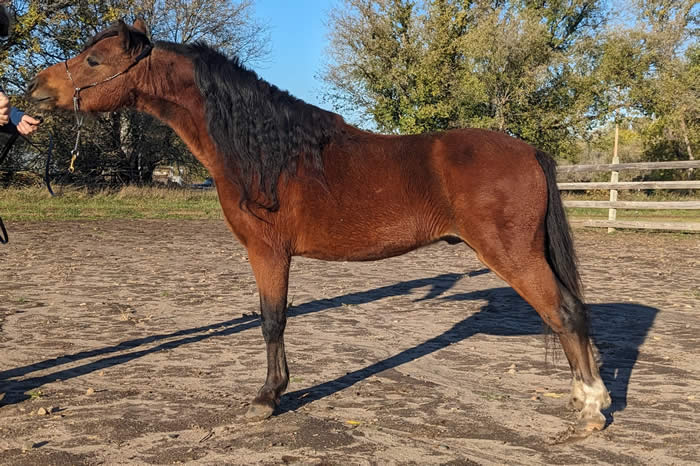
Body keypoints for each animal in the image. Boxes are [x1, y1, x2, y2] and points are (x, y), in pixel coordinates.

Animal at [28, 20, 608, 438]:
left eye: (94, 60)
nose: (34, 88)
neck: (264, 150)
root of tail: (529, 151)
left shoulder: (267, 251)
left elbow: (272, 321)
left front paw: (267, 398)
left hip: (514, 256)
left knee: (564, 313)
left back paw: (592, 409)